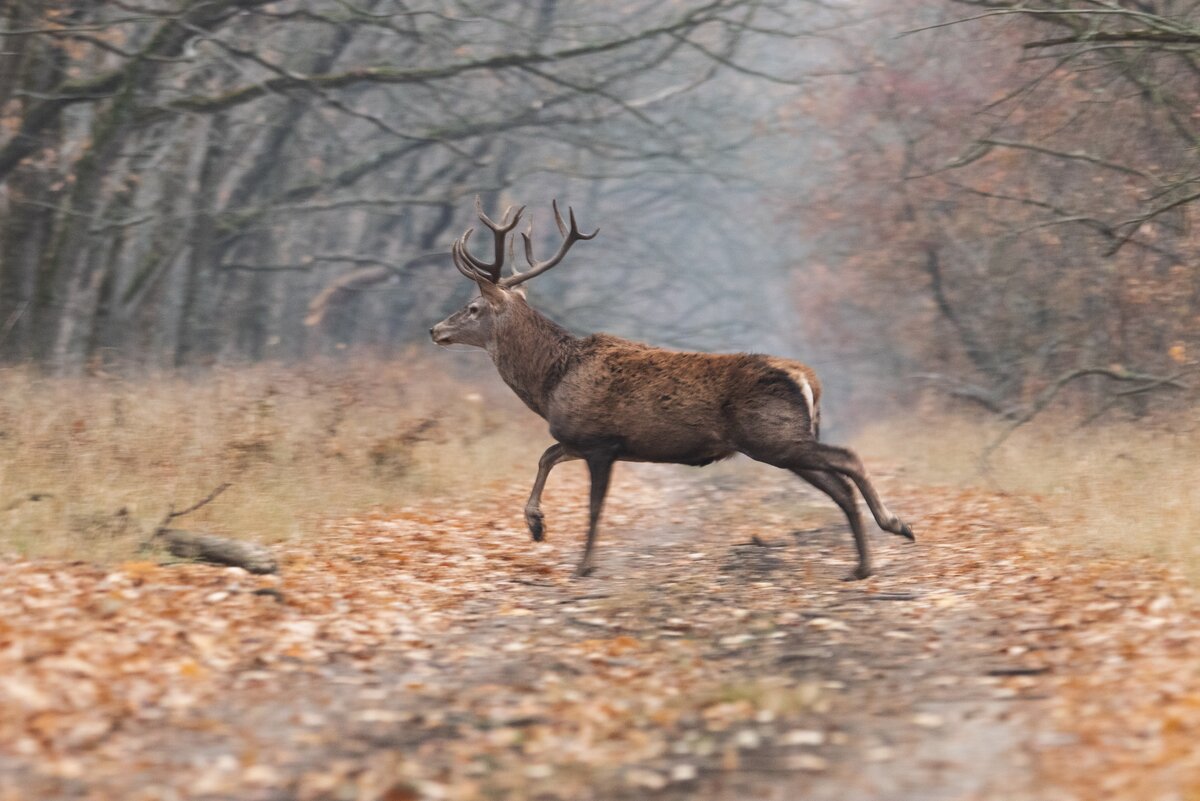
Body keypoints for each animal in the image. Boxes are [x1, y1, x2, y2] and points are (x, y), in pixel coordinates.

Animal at [434, 196, 916, 577]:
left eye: (473, 307)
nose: (436, 329)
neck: (552, 382)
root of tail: (806, 377)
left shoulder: (600, 441)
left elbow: (593, 504)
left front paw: (584, 564)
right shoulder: (580, 438)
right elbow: (546, 455)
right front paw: (536, 525)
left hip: (774, 436)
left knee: (848, 459)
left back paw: (895, 527)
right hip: (783, 442)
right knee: (839, 486)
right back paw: (863, 565)